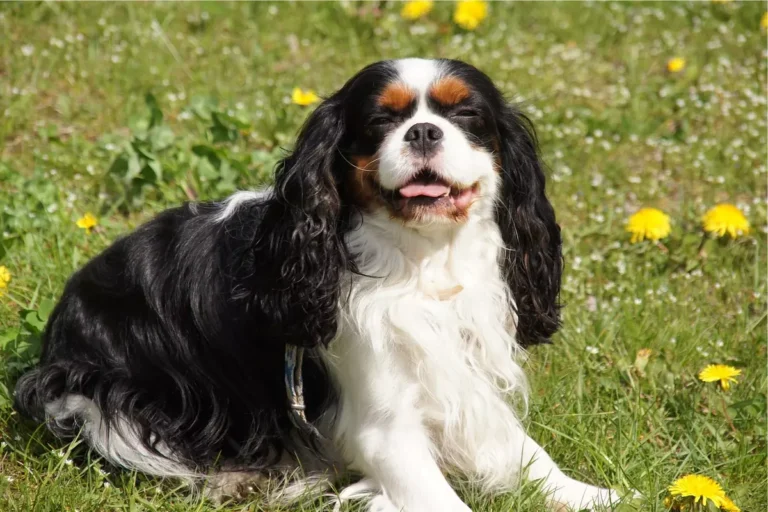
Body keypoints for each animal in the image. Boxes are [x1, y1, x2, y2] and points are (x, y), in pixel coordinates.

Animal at [15, 59, 628, 508]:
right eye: (381, 122)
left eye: (468, 116)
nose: (424, 131)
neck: (422, 261)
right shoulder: (383, 428)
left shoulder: (462, 377)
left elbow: (527, 451)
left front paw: (591, 494)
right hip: (103, 397)